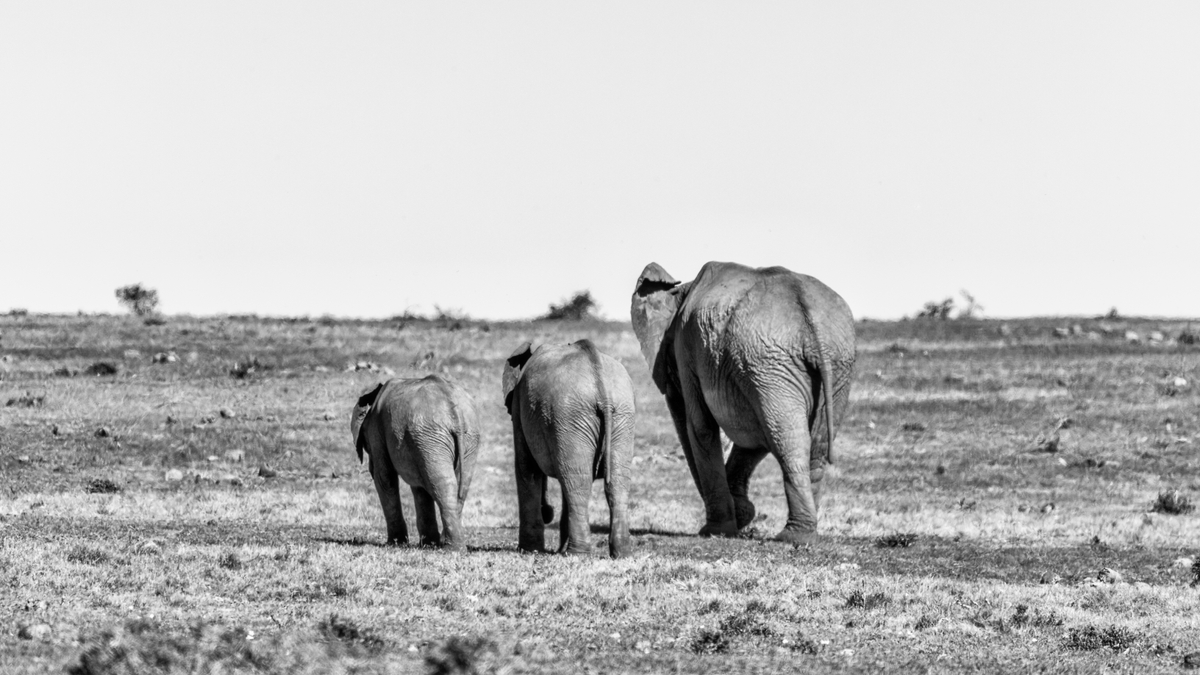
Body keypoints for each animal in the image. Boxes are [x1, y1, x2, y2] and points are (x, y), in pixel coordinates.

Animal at [350, 375, 480, 550]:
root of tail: (455, 412)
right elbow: (420, 487)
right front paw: (428, 544)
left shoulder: (377, 430)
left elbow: (385, 478)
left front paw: (395, 544)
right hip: (460, 438)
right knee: (459, 485)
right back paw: (449, 545)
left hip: (432, 437)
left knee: (443, 484)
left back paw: (452, 549)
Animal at [502, 339, 636, 558]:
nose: (548, 511)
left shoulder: (519, 405)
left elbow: (526, 468)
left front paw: (529, 551)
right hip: (618, 416)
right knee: (612, 482)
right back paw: (621, 553)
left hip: (571, 415)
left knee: (577, 483)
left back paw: (577, 553)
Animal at [630, 260, 856, 543]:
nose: (743, 522)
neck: (683, 290)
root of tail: (811, 320)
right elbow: (755, 434)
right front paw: (740, 517)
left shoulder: (688, 350)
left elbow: (702, 428)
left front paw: (716, 530)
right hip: (829, 365)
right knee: (811, 442)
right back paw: (805, 533)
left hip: (771, 361)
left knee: (787, 438)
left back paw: (792, 536)